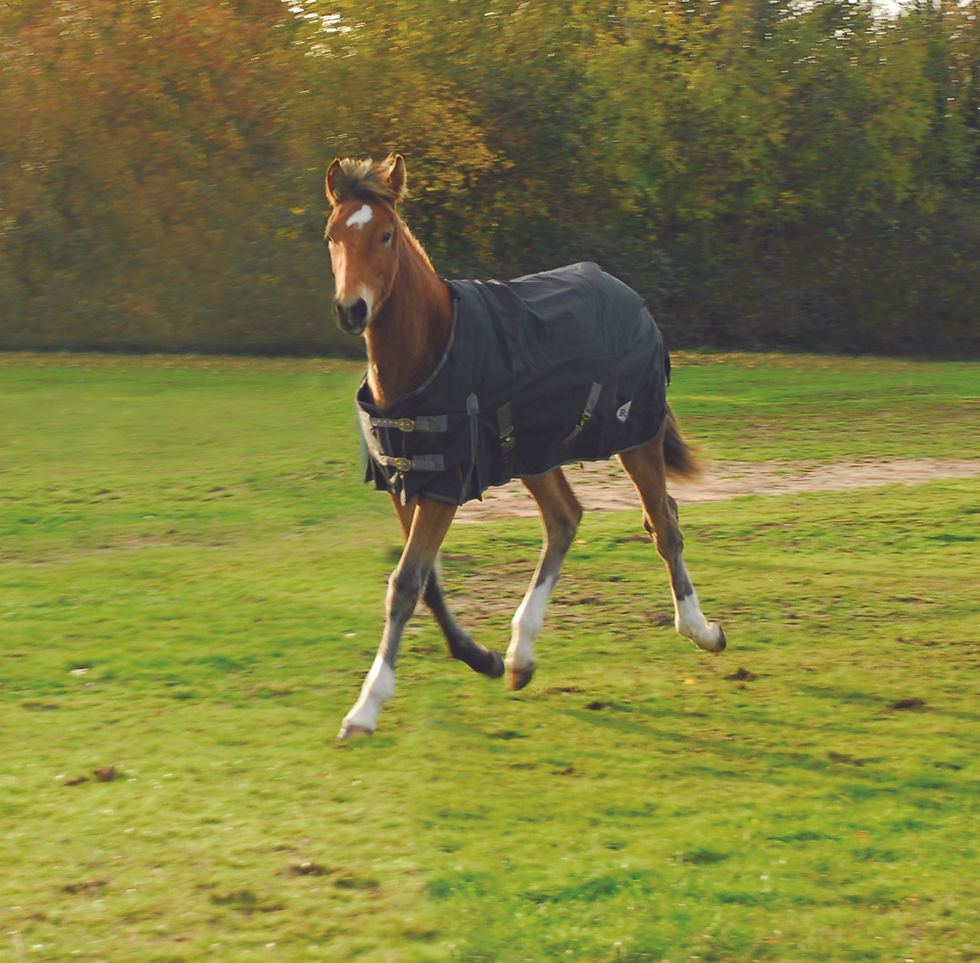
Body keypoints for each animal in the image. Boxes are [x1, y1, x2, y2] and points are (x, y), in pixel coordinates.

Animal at [325, 154, 725, 741]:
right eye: (332, 234)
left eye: (385, 234)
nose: (352, 309)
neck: (428, 350)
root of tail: (631, 298)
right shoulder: (406, 480)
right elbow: (427, 582)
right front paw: (482, 658)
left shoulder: (445, 485)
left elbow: (405, 584)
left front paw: (365, 708)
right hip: (535, 453)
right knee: (565, 518)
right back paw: (519, 657)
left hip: (637, 437)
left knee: (664, 521)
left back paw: (701, 630)